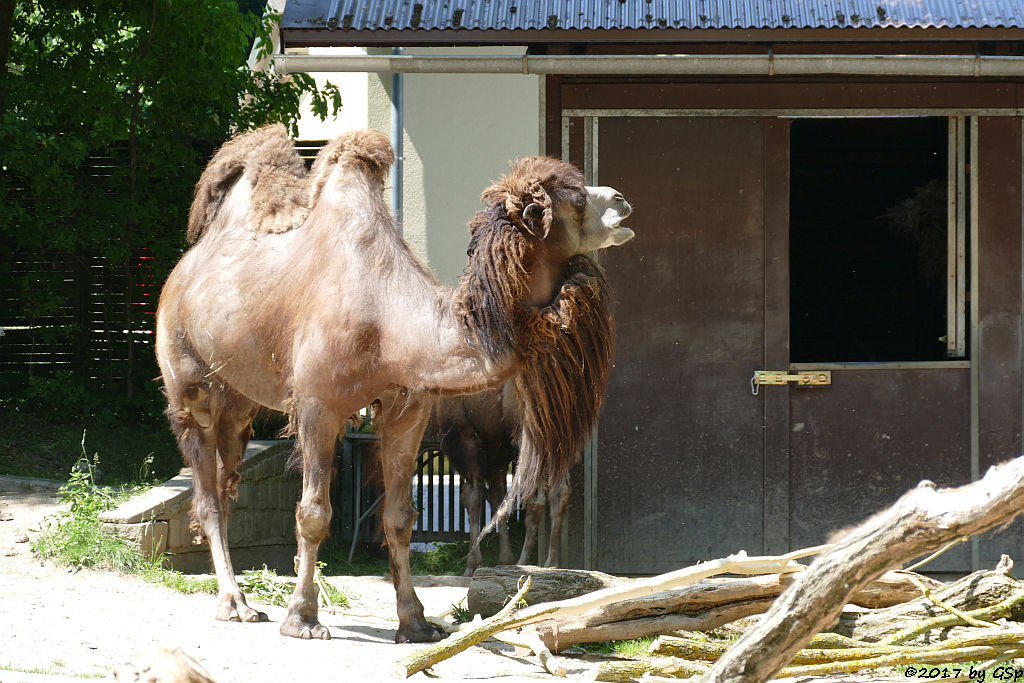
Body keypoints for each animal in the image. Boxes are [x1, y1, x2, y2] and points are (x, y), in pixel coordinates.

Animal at [155, 125, 630, 643]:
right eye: (577, 200)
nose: (622, 201)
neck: (390, 325)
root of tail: (184, 268)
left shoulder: (409, 408)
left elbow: (400, 517)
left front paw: (416, 622)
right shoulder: (319, 405)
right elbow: (314, 513)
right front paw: (302, 618)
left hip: (238, 401)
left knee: (226, 483)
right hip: (187, 379)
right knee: (206, 492)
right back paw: (234, 603)